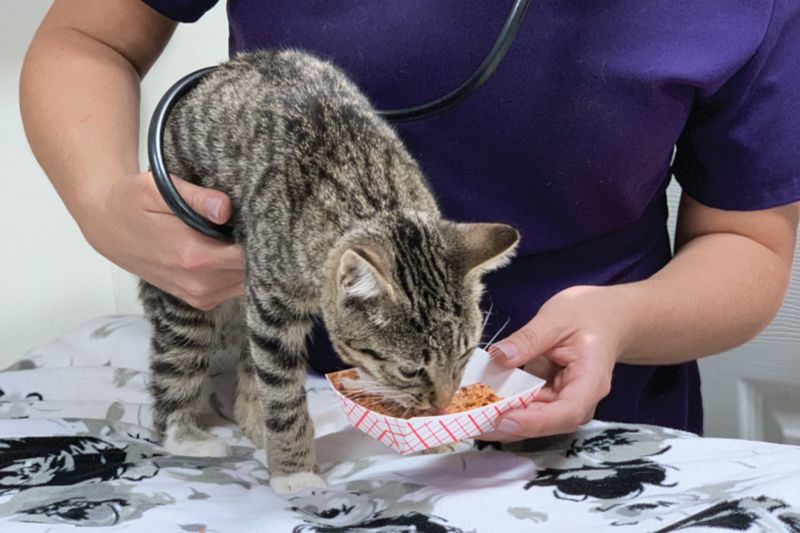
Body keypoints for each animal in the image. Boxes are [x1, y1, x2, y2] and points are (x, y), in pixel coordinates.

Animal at [139, 50, 520, 494]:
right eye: (411, 369)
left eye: (463, 354)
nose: (443, 404)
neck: (370, 194)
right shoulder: (272, 306)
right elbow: (283, 394)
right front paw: (294, 470)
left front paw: (430, 435)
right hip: (184, 279)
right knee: (178, 358)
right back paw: (185, 435)